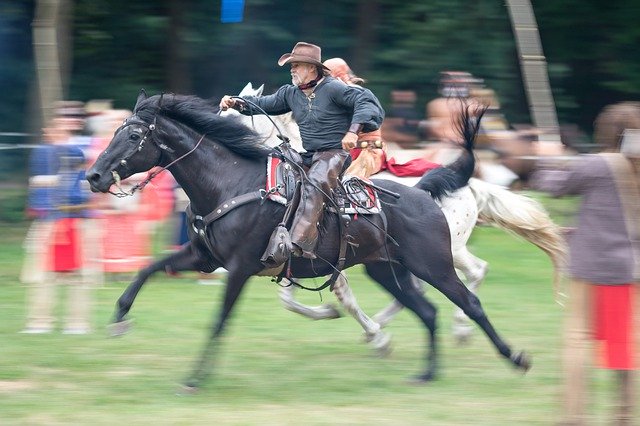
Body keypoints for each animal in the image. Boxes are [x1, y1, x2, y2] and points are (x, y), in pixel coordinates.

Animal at [87, 90, 532, 390]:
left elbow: (219, 320)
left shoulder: (239, 268)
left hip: (435, 264)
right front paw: (120, 318)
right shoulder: (203, 256)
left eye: (133, 136)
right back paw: (425, 372)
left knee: (469, 301)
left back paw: (514, 357)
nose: (93, 175)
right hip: (388, 271)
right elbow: (149, 268)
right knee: (426, 311)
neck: (232, 183)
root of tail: (423, 193)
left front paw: (195, 378)